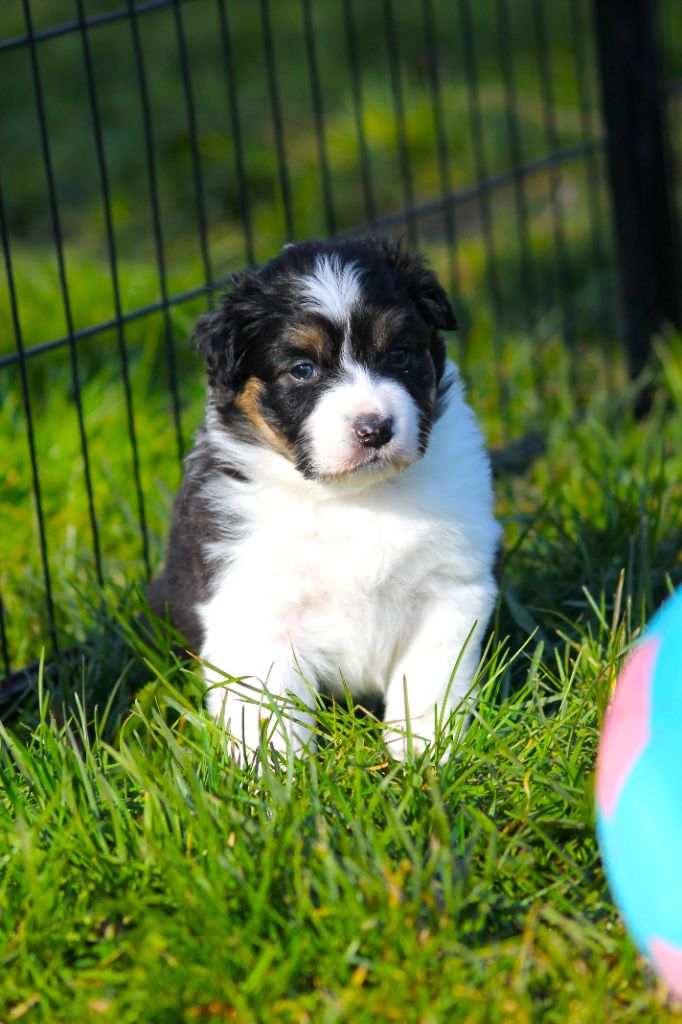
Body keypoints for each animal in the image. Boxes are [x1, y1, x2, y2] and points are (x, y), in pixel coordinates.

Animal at [148, 237, 501, 762]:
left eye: (399, 354)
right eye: (303, 369)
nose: (375, 429)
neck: (352, 499)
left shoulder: (448, 589)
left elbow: (428, 683)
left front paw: (422, 756)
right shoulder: (260, 611)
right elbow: (267, 714)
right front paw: (274, 777)